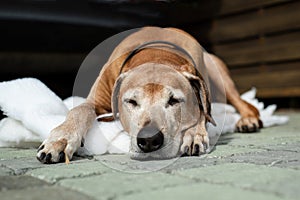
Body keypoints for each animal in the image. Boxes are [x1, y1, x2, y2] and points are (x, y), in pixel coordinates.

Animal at [36, 26, 262, 163]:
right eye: (131, 101)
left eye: (174, 100)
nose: (150, 140)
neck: (157, 50)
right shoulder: (96, 98)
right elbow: (79, 110)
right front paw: (60, 140)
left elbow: (201, 112)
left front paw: (193, 135)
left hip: (217, 71)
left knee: (243, 103)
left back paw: (248, 120)